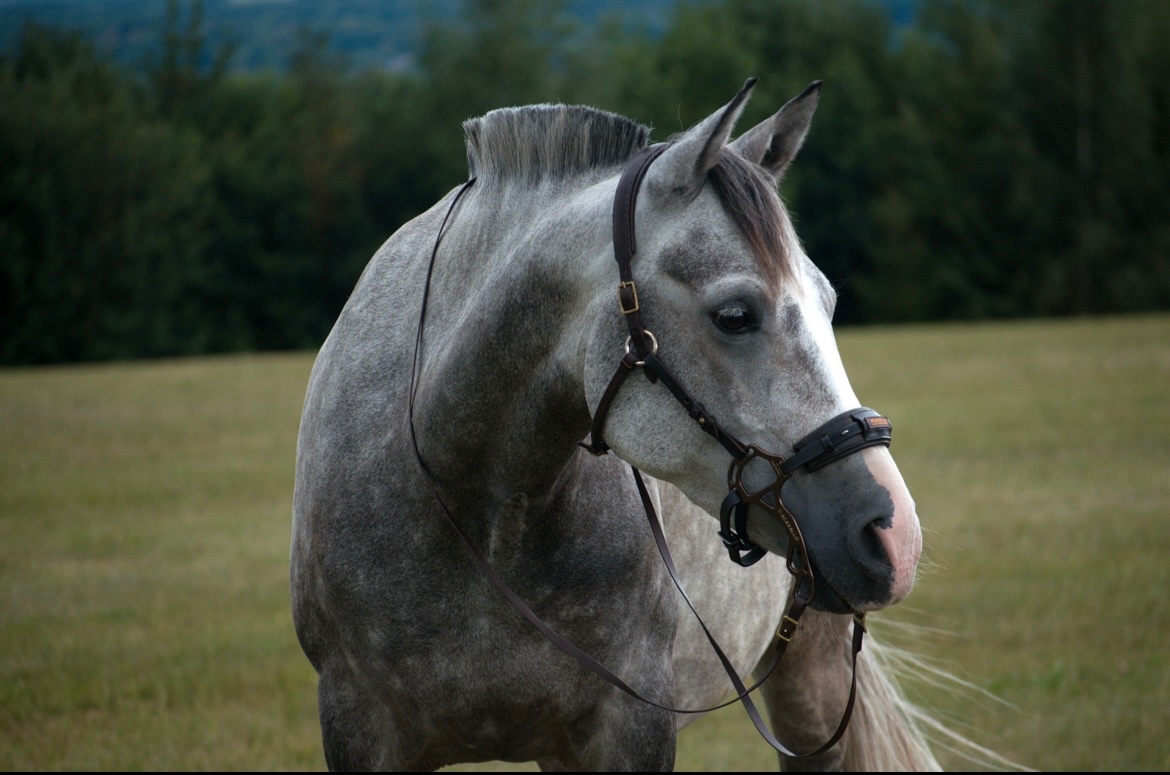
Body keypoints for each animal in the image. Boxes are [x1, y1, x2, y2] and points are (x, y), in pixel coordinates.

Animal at [292, 79, 940, 772]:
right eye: (735, 315)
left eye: (830, 303)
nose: (895, 534)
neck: (474, 510)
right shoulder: (361, 726)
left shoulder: (627, 727)